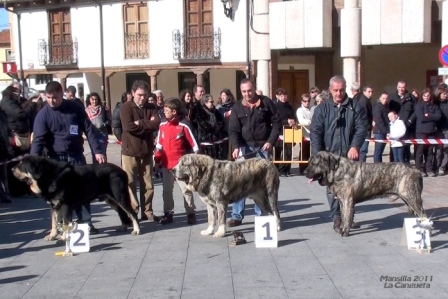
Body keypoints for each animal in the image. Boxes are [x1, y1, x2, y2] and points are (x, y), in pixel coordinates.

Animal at [12, 156, 140, 240]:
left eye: (21, 164)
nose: (11, 169)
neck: (51, 177)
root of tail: (122, 171)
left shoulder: (65, 205)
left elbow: (64, 223)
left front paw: (64, 237)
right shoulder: (54, 206)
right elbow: (54, 223)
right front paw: (52, 236)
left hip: (120, 197)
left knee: (132, 212)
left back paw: (136, 230)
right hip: (111, 199)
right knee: (121, 211)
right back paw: (124, 227)